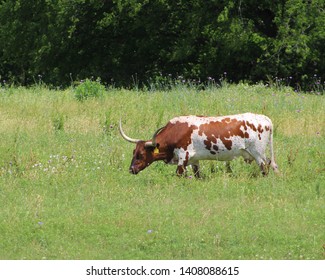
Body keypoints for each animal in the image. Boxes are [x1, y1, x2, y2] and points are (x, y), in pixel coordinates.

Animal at [119, 112, 278, 176]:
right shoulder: (194, 160)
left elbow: (179, 175)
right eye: (133, 153)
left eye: (141, 155)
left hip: (258, 154)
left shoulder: (183, 157)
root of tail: (265, 118)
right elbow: (197, 176)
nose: (131, 170)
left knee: (265, 169)